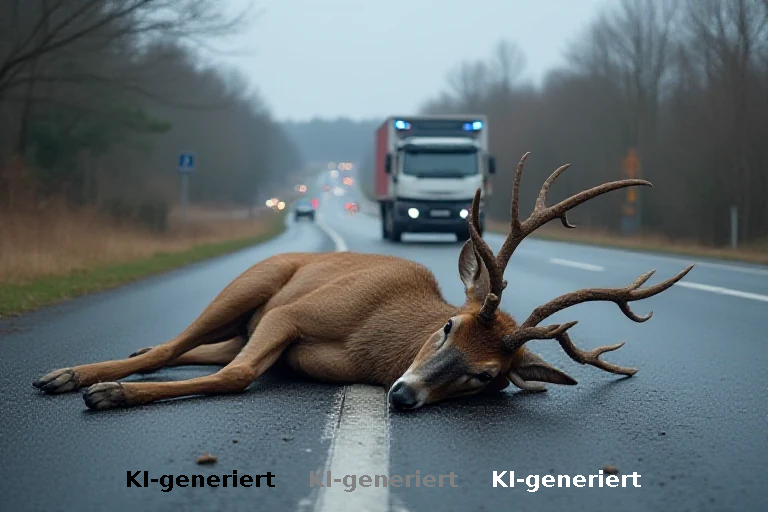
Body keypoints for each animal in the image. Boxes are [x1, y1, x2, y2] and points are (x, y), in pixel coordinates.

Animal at [33, 152, 693, 412]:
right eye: (447, 326)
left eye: (486, 377)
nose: (401, 395)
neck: (366, 342)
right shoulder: (294, 314)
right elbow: (237, 374)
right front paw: (107, 393)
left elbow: (234, 368)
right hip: (255, 279)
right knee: (178, 345)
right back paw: (72, 375)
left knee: (199, 347)